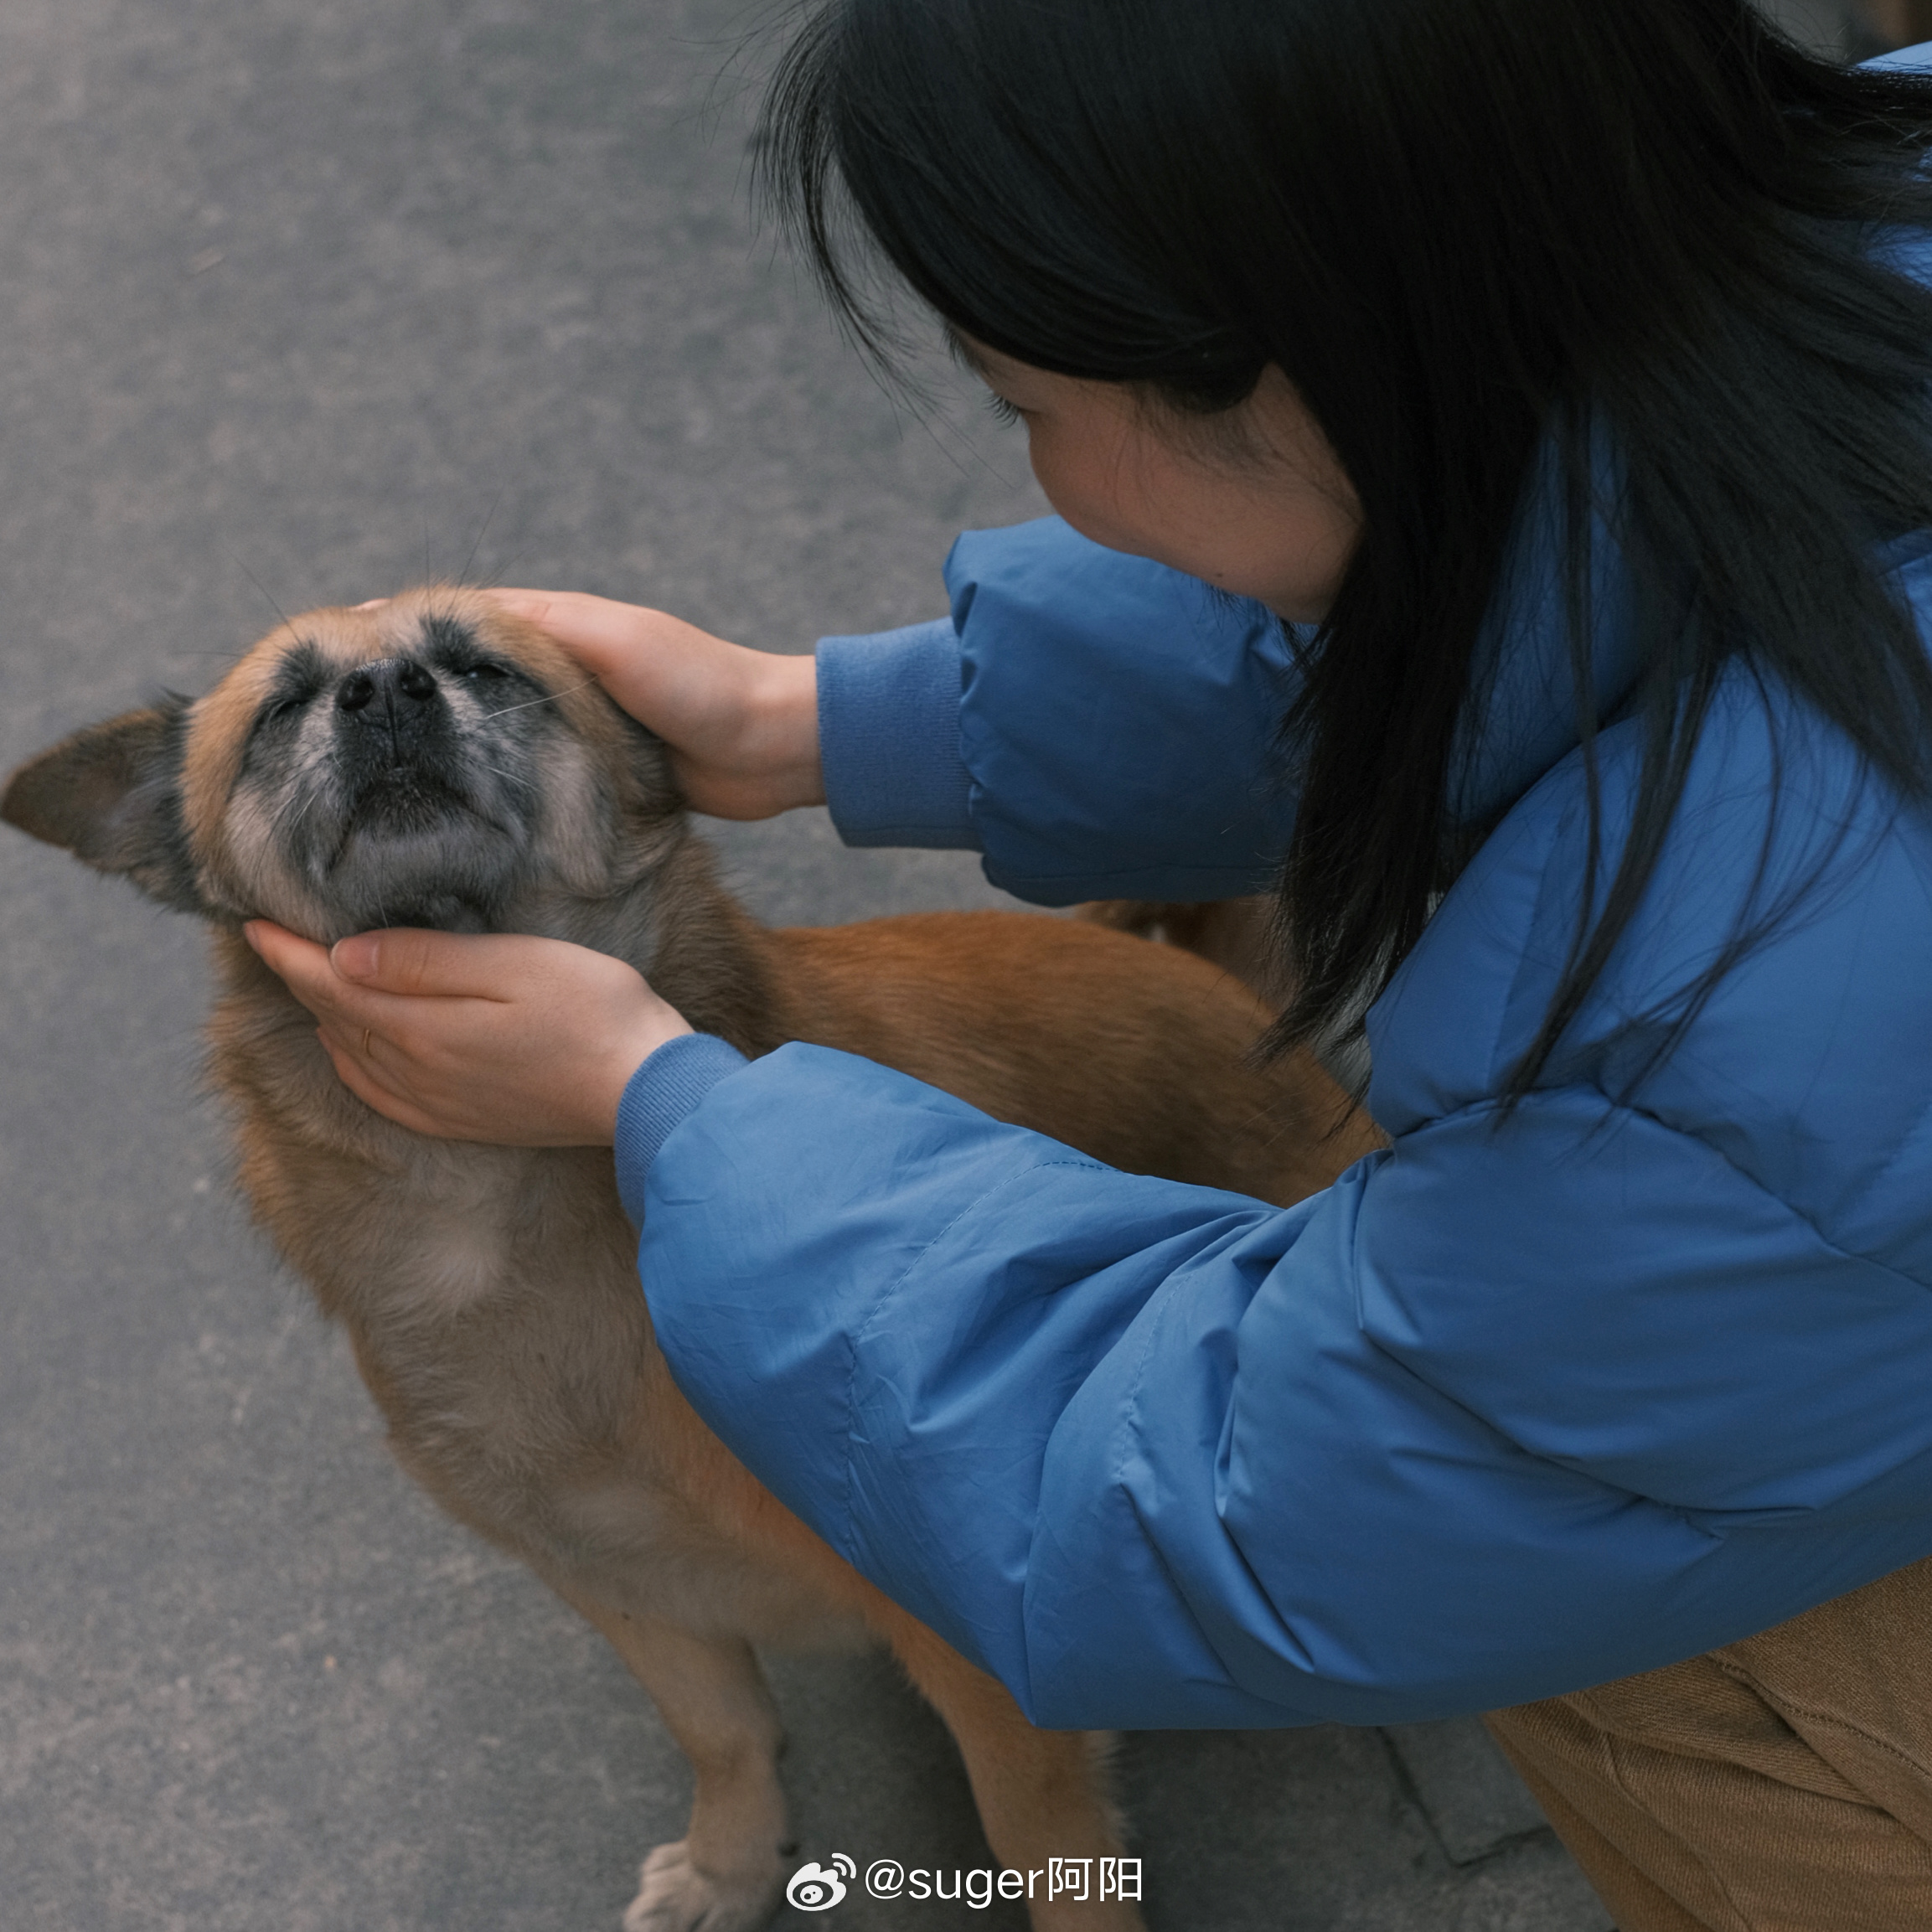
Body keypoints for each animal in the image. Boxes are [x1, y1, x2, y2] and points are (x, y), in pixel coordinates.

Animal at [8, 587, 1383, 1932]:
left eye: (487, 670)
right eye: (283, 706)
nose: (383, 688)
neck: (491, 1201)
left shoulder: (982, 1666)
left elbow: (1045, 1854)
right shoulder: (628, 1584)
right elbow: (723, 1734)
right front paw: (732, 1862)